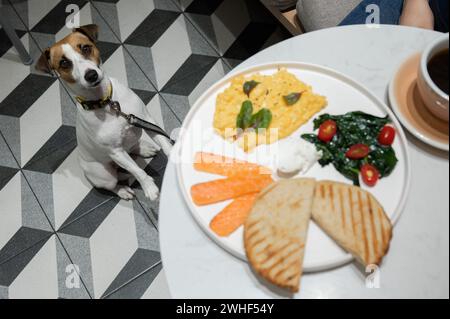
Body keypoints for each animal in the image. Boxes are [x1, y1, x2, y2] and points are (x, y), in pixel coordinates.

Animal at [34, 24, 172, 200]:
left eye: (85, 48)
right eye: (64, 63)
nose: (91, 75)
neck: (107, 103)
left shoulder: (147, 121)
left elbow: (165, 143)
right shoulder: (116, 152)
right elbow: (137, 170)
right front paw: (149, 187)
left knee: (132, 148)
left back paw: (144, 149)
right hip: (105, 175)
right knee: (114, 183)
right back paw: (123, 190)